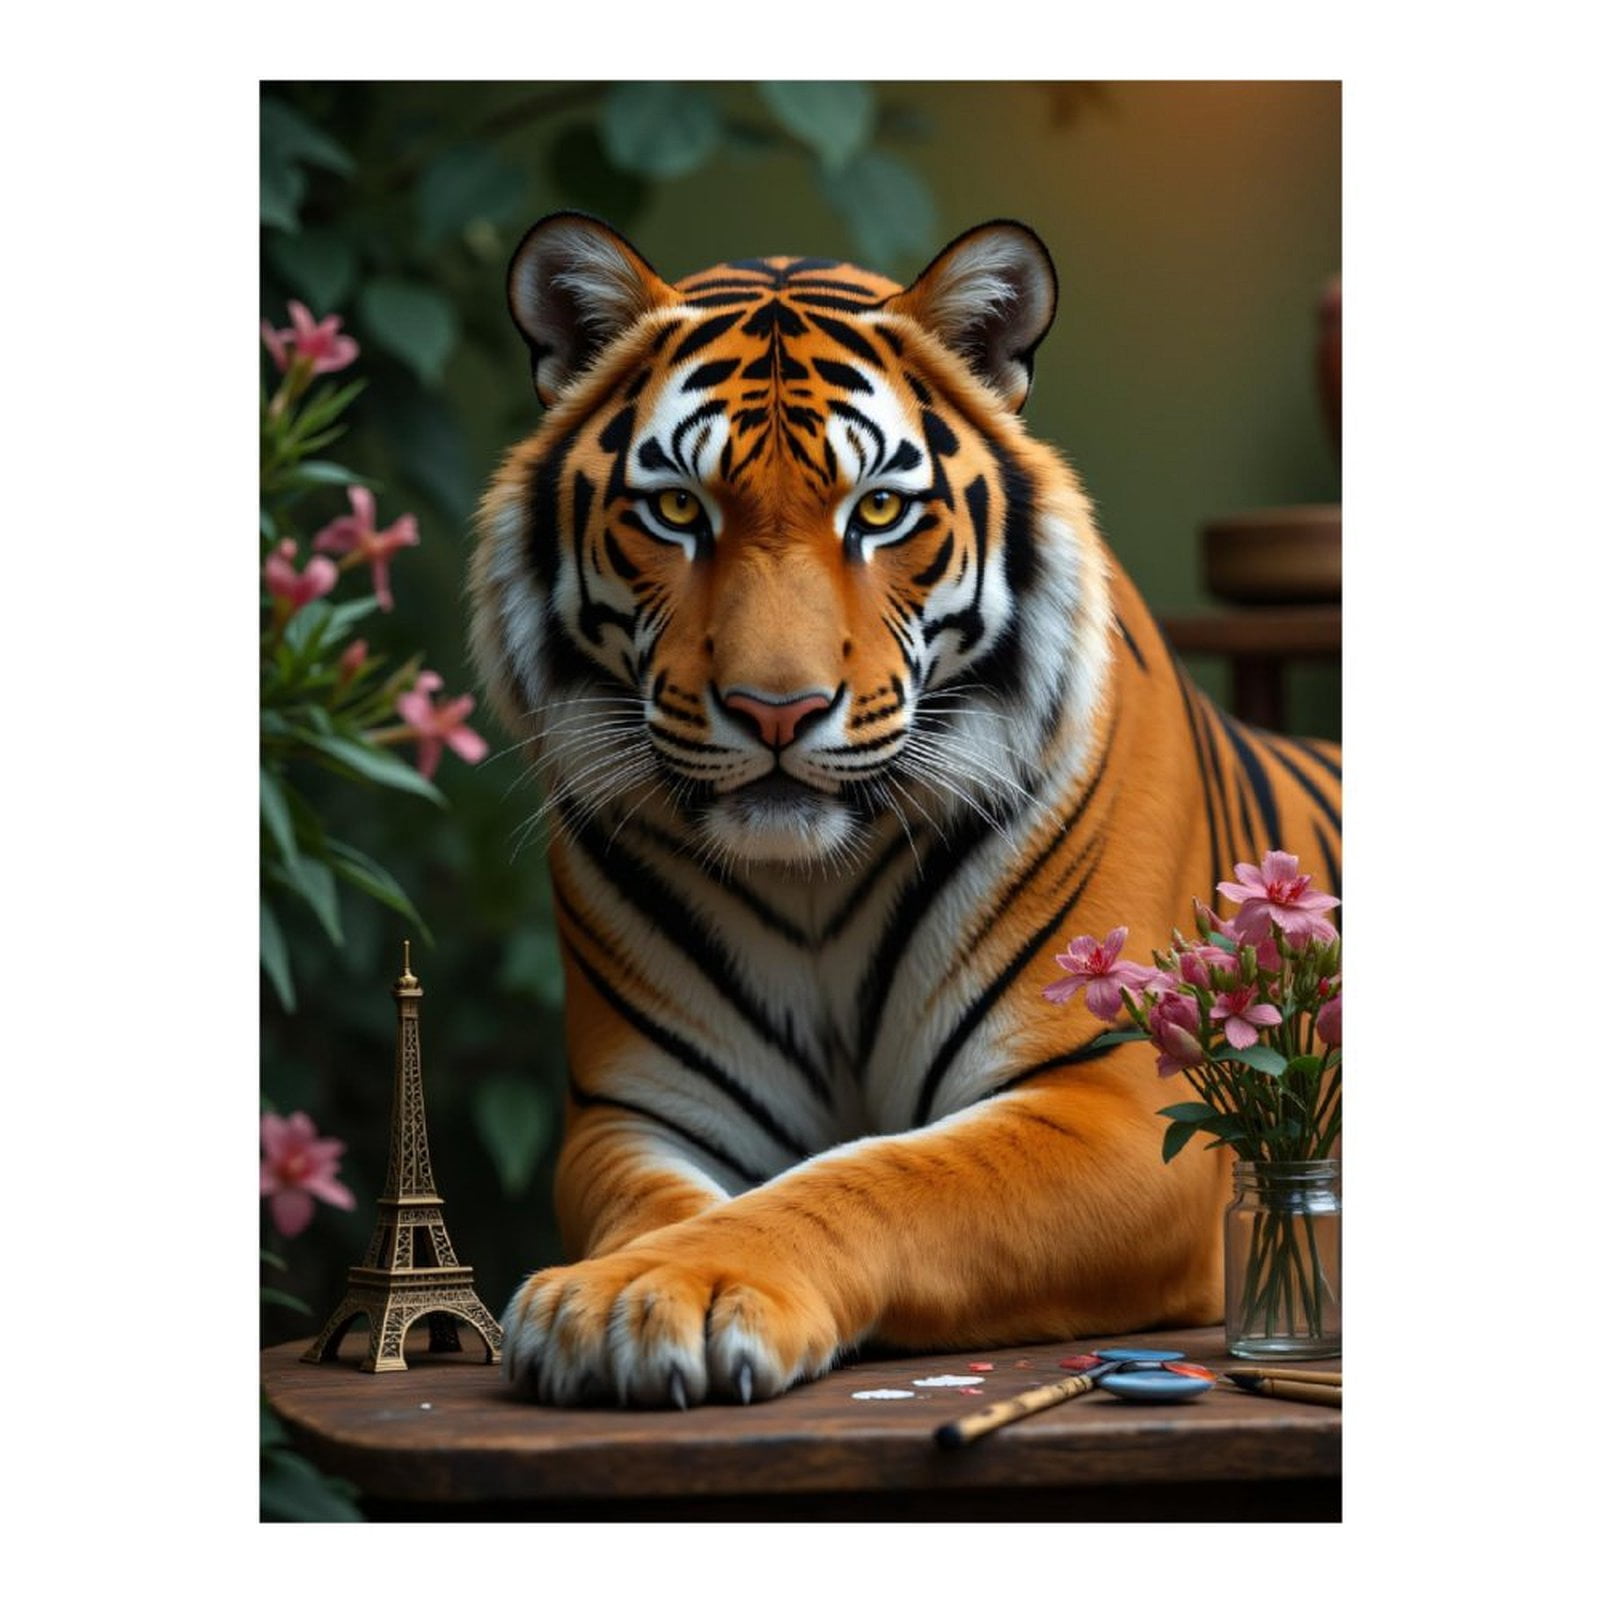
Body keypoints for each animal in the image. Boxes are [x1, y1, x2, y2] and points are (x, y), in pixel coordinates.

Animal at [468, 211, 1342, 1408]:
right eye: (677, 508)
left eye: (878, 508)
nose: (776, 710)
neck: (810, 884)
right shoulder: (634, 1112)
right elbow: (653, 1208)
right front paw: (620, 1288)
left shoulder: (1115, 1108)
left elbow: (871, 1178)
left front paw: (660, 1291)